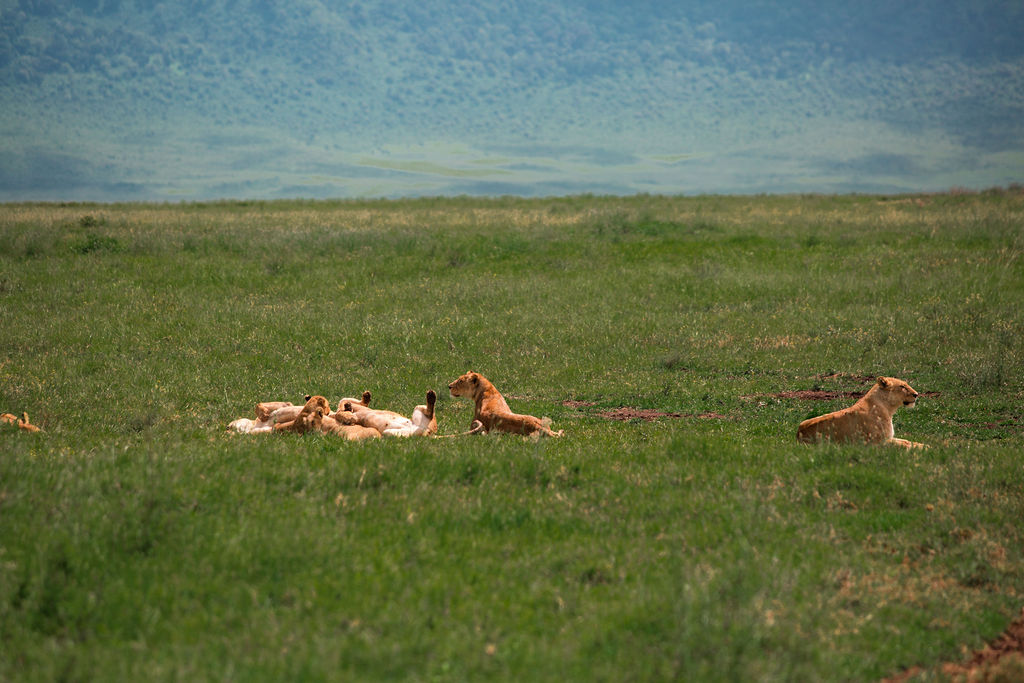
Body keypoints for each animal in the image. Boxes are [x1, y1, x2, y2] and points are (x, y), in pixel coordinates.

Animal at [796, 376, 926, 449]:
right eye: (902, 386)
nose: (916, 394)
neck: (888, 408)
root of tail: (797, 434)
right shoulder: (876, 443)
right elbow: (905, 445)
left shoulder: (888, 437)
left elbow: (907, 441)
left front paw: (925, 446)